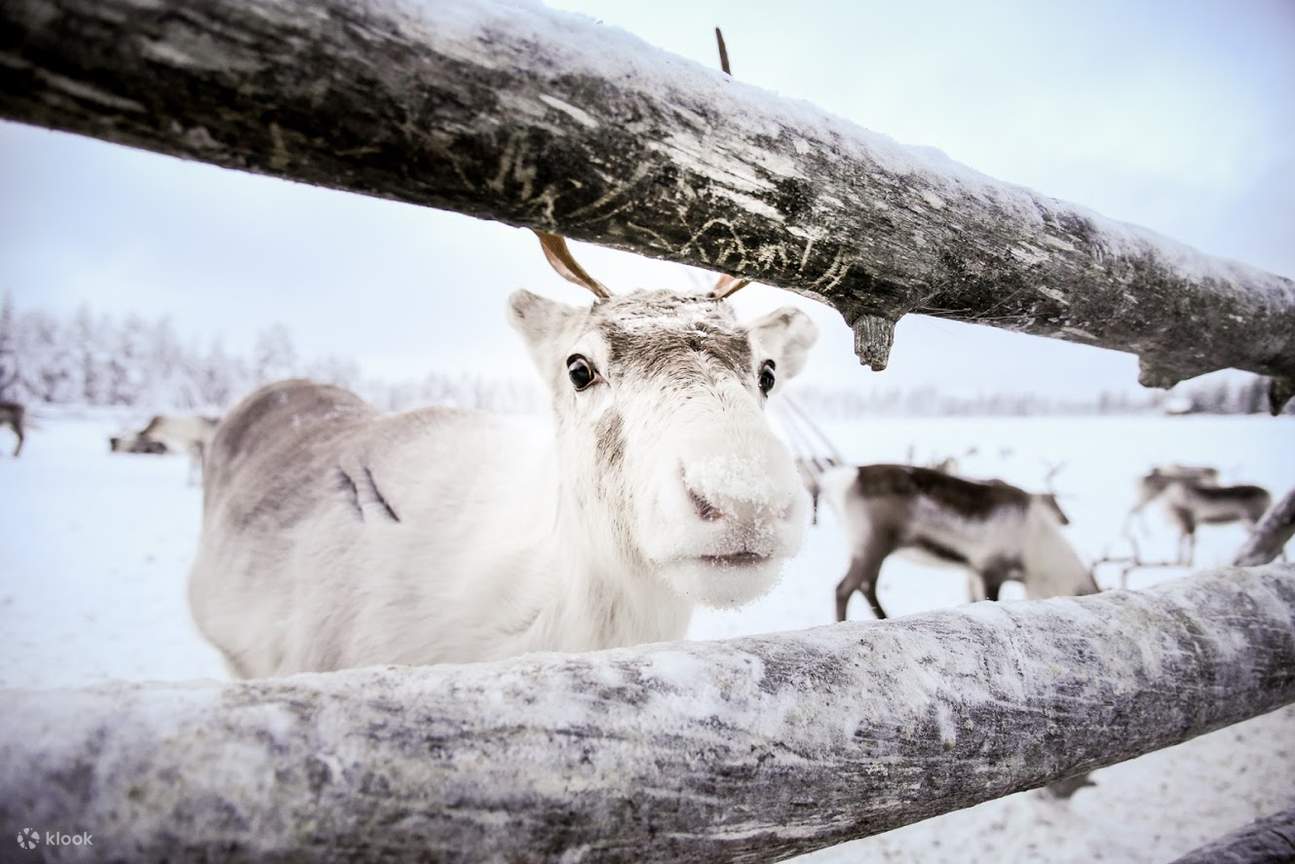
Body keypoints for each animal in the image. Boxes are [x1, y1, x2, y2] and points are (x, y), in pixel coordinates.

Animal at [817, 463, 1097, 621]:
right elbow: (991, 600)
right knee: (844, 588)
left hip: (876, 549)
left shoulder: (972, 571)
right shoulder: (990, 570)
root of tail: (844, 479)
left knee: (867, 586)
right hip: (871, 545)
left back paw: (884, 618)